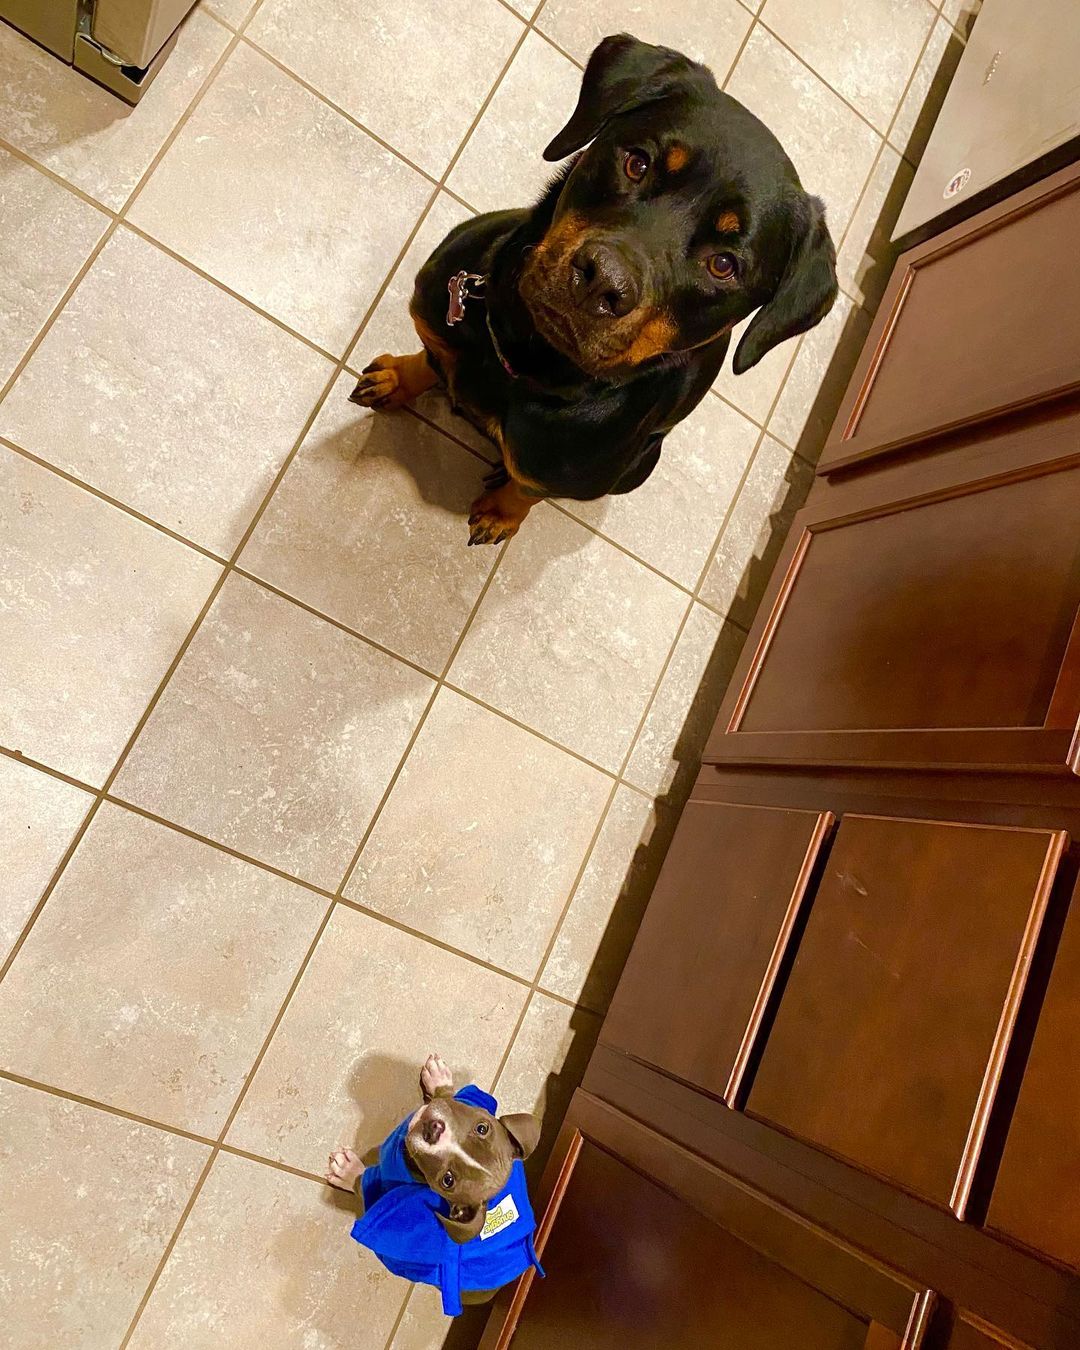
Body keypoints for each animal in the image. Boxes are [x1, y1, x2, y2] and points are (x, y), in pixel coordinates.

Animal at [351, 27, 837, 542]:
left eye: (724, 264)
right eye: (637, 163)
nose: (602, 279)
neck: (524, 364)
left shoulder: (560, 471)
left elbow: (527, 489)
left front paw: (502, 511)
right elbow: (430, 356)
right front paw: (399, 377)